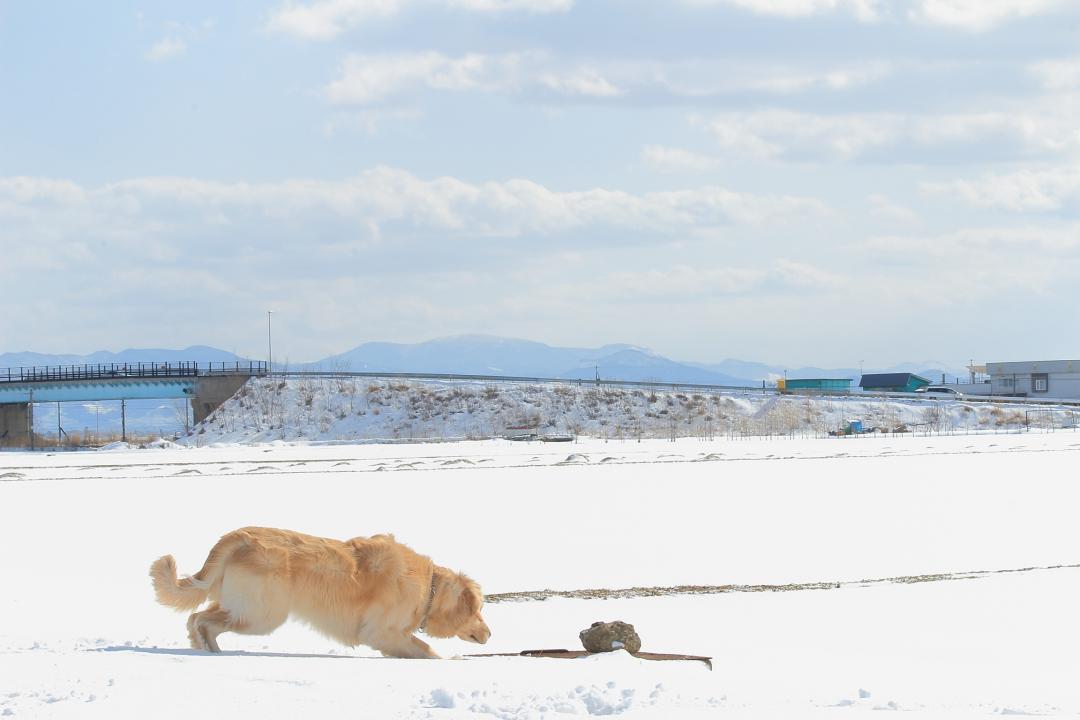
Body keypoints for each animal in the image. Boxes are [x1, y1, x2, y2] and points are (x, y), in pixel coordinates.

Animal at [149, 524, 490, 660]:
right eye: (477, 611)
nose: (490, 634)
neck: (429, 586)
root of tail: (238, 537)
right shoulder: (383, 633)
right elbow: (428, 651)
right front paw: (451, 661)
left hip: (244, 608)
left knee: (198, 618)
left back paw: (209, 651)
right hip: (261, 614)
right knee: (200, 620)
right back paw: (208, 652)